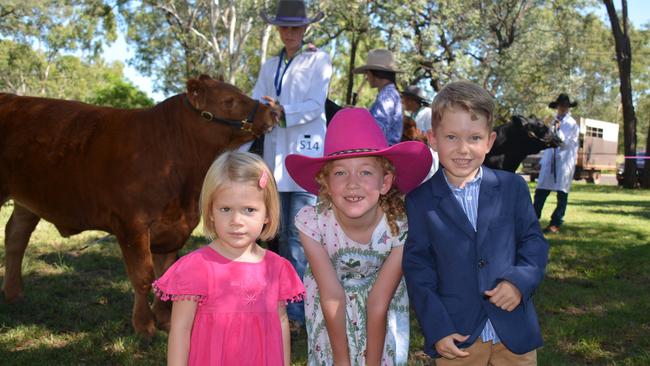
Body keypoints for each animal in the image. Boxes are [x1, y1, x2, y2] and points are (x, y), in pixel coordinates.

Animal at [0, 74, 274, 338]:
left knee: (16, 237)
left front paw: (165, 322)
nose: (272, 110)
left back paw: (14, 295)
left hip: (27, 202)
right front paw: (144, 326)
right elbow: (143, 277)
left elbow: (165, 276)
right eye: (229, 100)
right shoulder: (132, 225)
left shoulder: (173, 227)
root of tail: (10, 97)